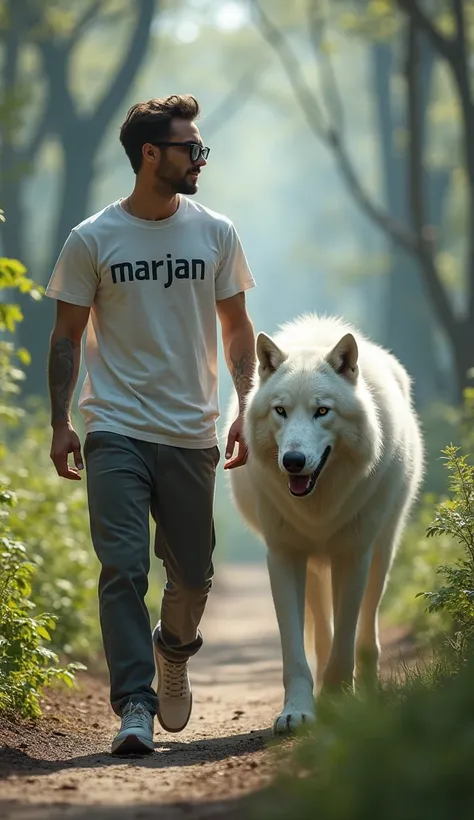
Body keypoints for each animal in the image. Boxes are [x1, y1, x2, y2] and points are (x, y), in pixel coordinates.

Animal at [228, 316, 424, 736]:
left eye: (322, 411)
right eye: (281, 410)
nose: (293, 461)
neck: (317, 506)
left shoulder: (353, 555)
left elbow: (346, 642)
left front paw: (340, 704)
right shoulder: (283, 556)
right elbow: (295, 651)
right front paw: (298, 712)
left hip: (382, 552)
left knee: (366, 632)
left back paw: (368, 690)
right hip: (315, 565)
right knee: (320, 629)